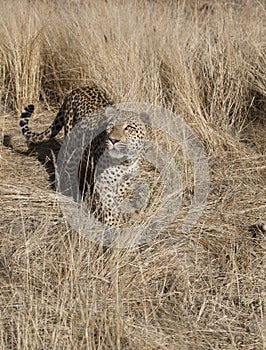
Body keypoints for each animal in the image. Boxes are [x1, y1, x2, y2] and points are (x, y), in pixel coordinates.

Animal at [19, 85, 151, 227]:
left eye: (129, 127)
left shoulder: (125, 180)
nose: (113, 140)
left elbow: (117, 198)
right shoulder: (103, 180)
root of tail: (77, 89)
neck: (125, 160)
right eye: (111, 126)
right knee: (69, 170)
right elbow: (109, 205)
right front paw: (112, 225)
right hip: (72, 145)